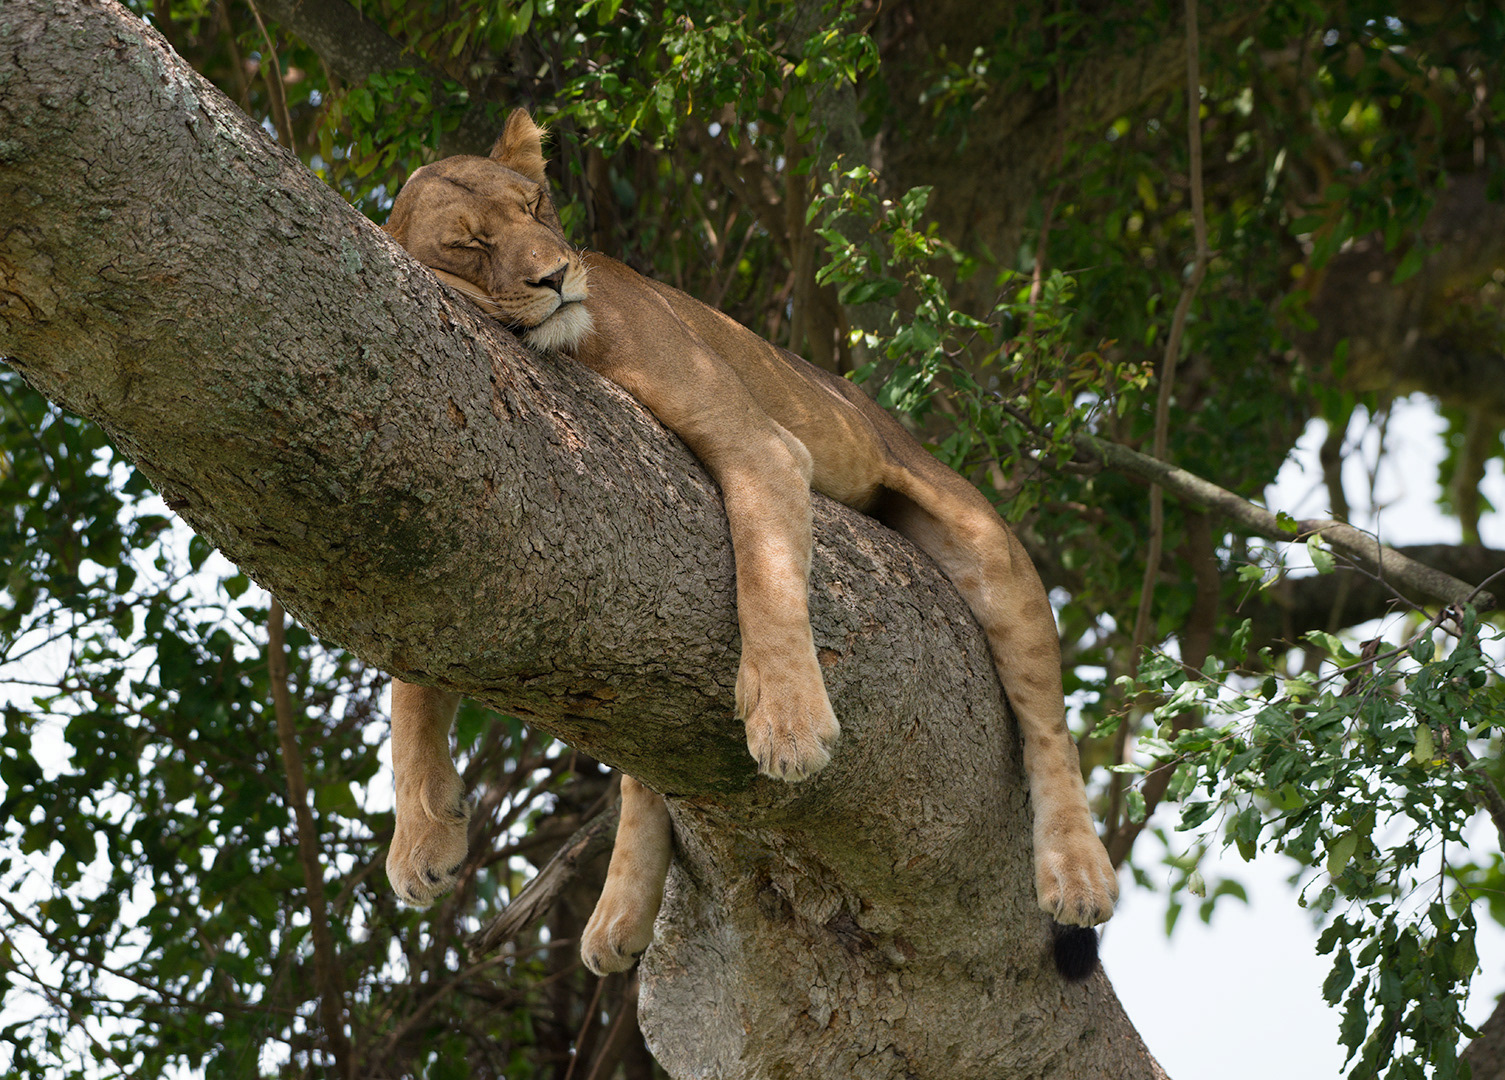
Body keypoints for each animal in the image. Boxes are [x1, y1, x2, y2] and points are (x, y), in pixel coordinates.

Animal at [379, 109, 1119, 979]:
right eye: (469, 243)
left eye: (535, 206)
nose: (557, 277)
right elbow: (408, 686)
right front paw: (422, 834)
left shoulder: (758, 445)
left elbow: (764, 577)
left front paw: (789, 725)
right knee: (640, 770)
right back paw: (621, 910)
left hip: (982, 545)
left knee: (1047, 730)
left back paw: (1077, 872)